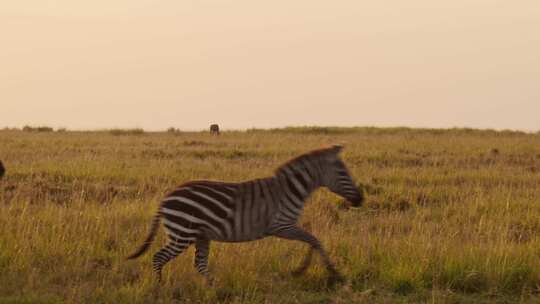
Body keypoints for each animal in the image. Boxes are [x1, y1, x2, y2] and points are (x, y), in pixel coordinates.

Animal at [127, 144, 362, 282]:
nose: (361, 199)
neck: (290, 189)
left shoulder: (286, 226)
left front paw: (305, 270)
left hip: (200, 235)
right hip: (182, 233)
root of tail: (165, 197)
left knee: (200, 265)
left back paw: (214, 289)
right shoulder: (281, 225)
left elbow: (313, 241)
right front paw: (328, 272)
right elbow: (314, 240)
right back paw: (159, 288)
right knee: (159, 257)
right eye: (343, 172)